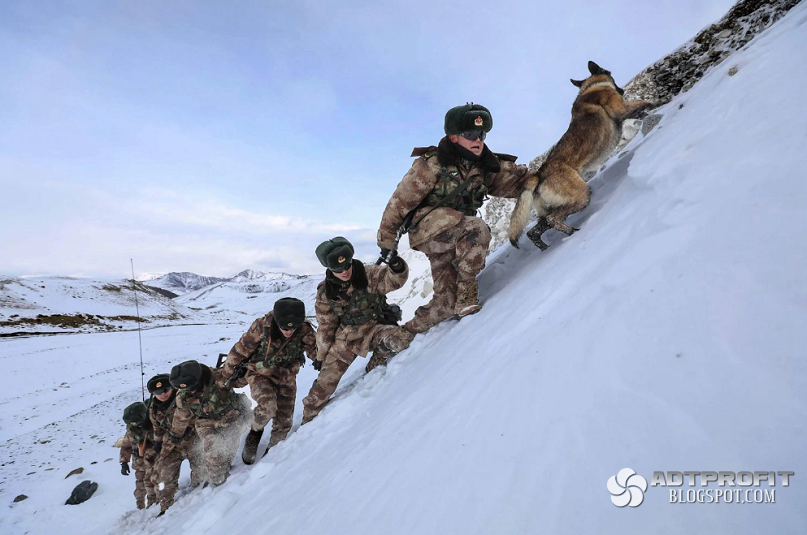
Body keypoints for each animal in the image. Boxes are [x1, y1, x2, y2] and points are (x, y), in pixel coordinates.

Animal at [512, 61, 656, 250]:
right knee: (553, 219)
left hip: (551, 208)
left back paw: (551, 243)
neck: (591, 87)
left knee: (534, 231)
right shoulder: (620, 108)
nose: (622, 91)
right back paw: (571, 233)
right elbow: (644, 102)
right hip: (581, 195)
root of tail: (538, 175)